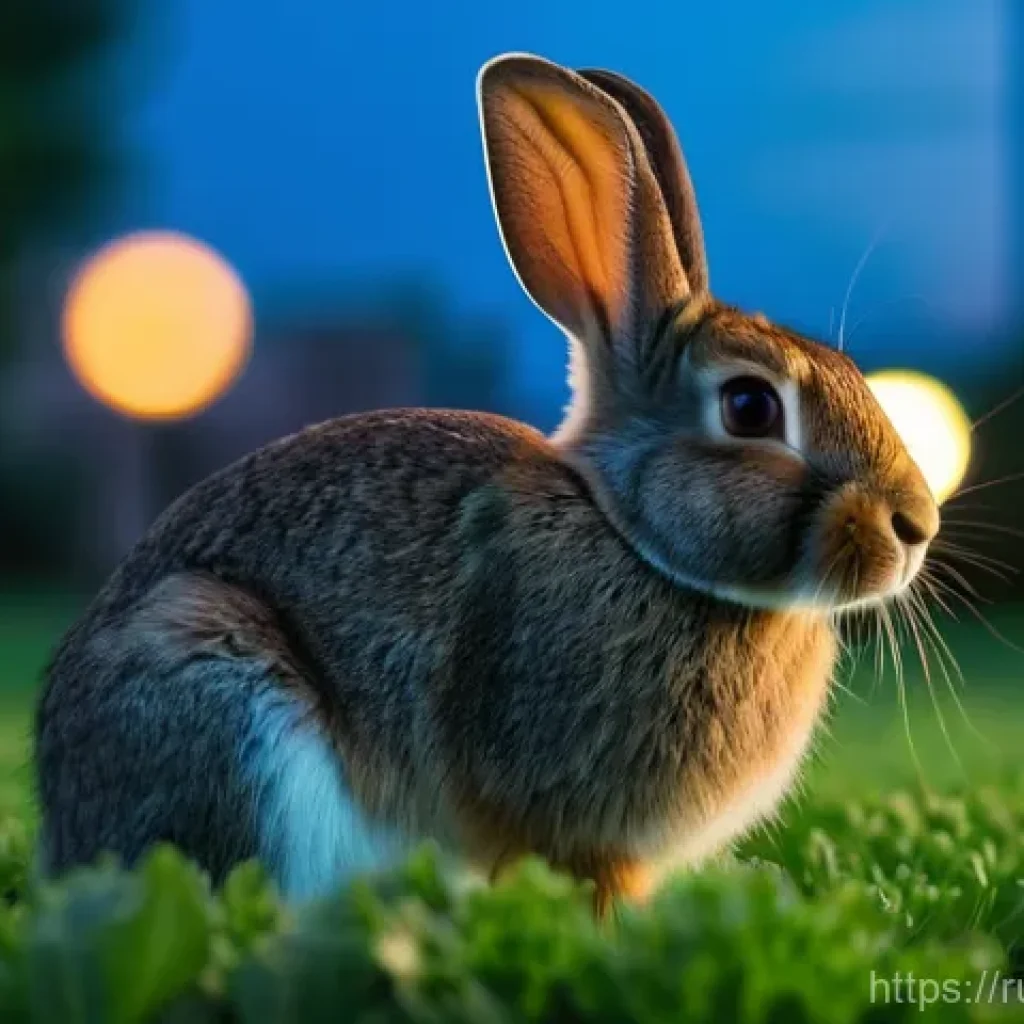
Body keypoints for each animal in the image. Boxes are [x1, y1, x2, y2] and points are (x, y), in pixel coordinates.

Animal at [35, 53, 940, 914]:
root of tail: (65, 815)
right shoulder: (578, 830)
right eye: (751, 407)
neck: (636, 541)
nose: (917, 526)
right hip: (220, 692)